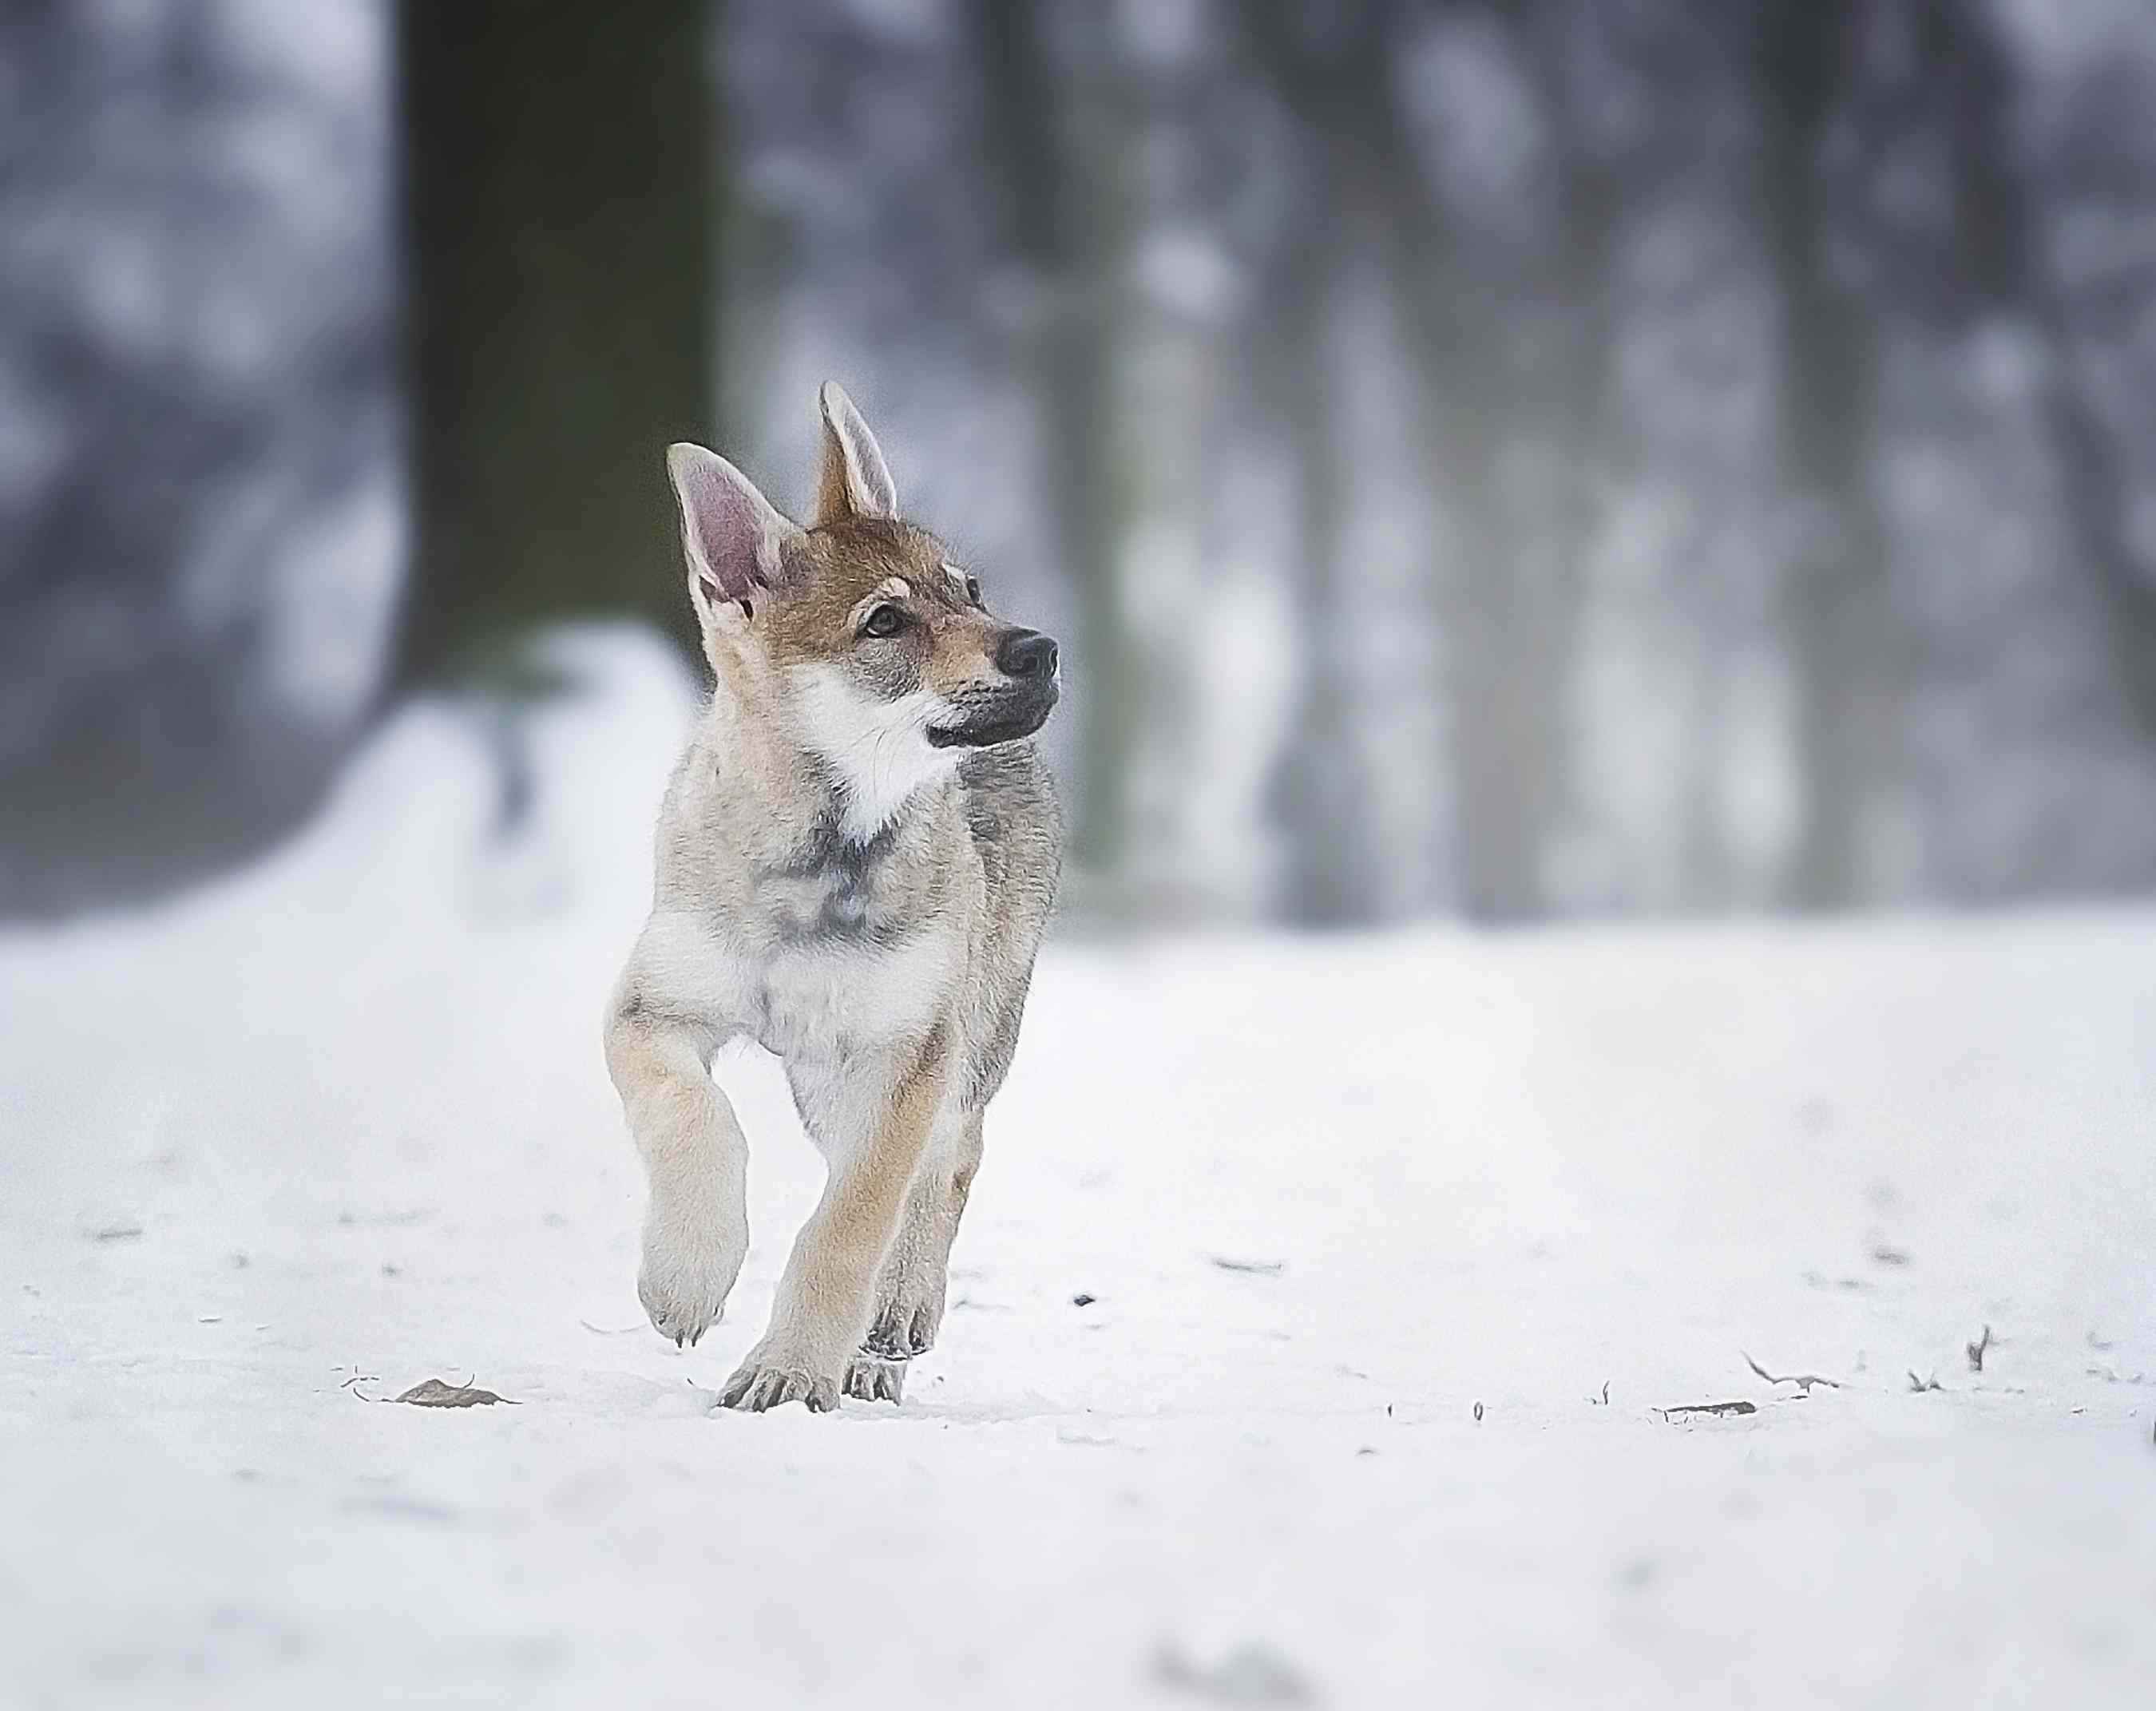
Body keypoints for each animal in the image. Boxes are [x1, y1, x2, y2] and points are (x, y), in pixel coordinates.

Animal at [608, 379, 1060, 1404]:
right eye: (884, 622)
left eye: (968, 590)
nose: (1040, 647)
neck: (824, 860)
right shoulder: (652, 1013)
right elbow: (697, 1121)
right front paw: (686, 1275)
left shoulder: (905, 1056)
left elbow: (851, 1224)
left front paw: (790, 1368)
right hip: (825, 1085)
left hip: (959, 1044)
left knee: (948, 1165)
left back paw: (889, 1327)